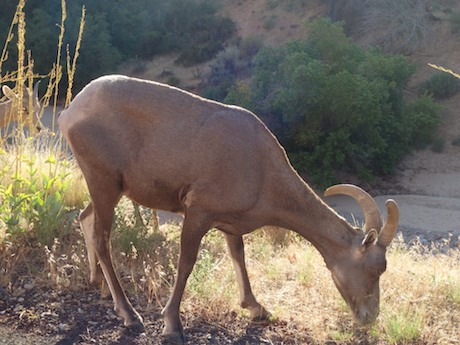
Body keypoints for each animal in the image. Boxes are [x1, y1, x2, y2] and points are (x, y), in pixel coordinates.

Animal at [58, 74, 398, 342]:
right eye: (375, 268)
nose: (369, 317)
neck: (261, 168)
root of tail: (71, 111)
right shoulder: (198, 212)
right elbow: (186, 263)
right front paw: (172, 326)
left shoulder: (230, 223)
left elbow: (239, 257)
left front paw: (258, 309)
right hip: (104, 182)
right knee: (102, 238)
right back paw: (130, 316)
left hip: (104, 188)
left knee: (86, 218)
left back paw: (100, 287)